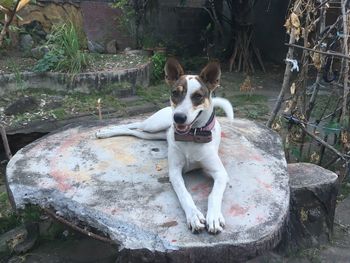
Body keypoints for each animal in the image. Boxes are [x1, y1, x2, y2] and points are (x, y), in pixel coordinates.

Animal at [95, 58, 235, 235]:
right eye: (175, 93)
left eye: (198, 96)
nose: (178, 117)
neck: (192, 136)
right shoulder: (174, 172)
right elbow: (184, 194)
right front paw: (194, 215)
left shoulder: (220, 173)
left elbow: (214, 194)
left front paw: (214, 217)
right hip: (154, 125)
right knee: (135, 124)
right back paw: (106, 131)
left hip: (152, 134)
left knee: (134, 131)